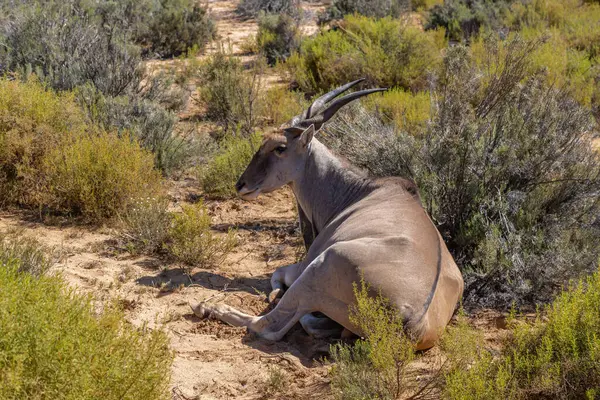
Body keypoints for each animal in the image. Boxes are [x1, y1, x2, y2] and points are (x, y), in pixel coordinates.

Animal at [192, 79, 464, 348]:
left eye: (279, 147)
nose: (241, 185)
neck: (359, 191)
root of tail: (416, 323)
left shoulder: (303, 265)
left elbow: (278, 273)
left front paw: (273, 292)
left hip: (319, 268)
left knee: (269, 326)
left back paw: (208, 306)